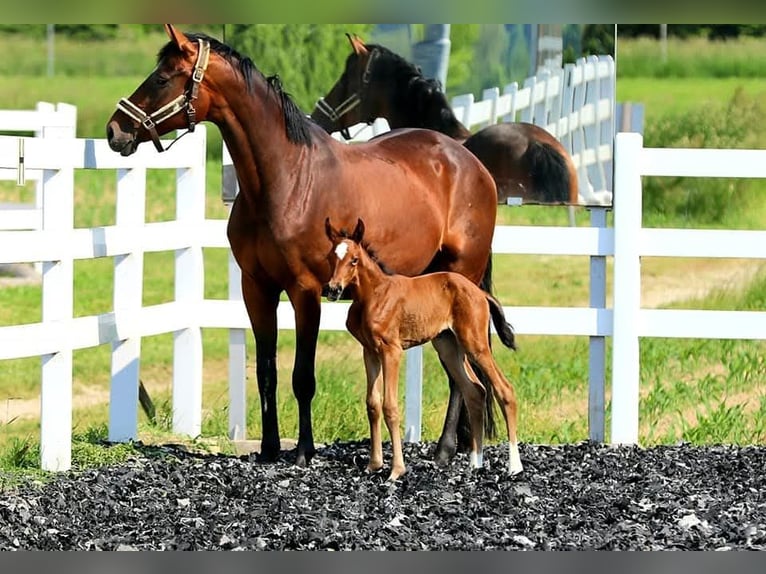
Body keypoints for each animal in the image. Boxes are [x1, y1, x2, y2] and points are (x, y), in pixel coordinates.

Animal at [105, 25, 500, 468]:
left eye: (162, 78)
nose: (115, 131)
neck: (286, 181)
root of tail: (468, 160)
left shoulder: (306, 292)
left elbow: (302, 376)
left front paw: (303, 451)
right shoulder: (257, 289)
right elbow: (267, 371)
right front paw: (268, 448)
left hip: (461, 282)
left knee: (462, 372)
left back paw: (446, 448)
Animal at [325, 217, 523, 481]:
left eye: (354, 259)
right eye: (331, 257)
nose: (333, 289)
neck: (375, 294)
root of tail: (480, 292)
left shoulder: (391, 351)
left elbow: (390, 406)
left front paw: (396, 470)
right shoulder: (370, 351)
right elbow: (373, 404)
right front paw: (374, 465)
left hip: (475, 344)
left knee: (505, 390)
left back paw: (514, 466)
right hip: (449, 346)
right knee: (475, 391)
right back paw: (475, 464)